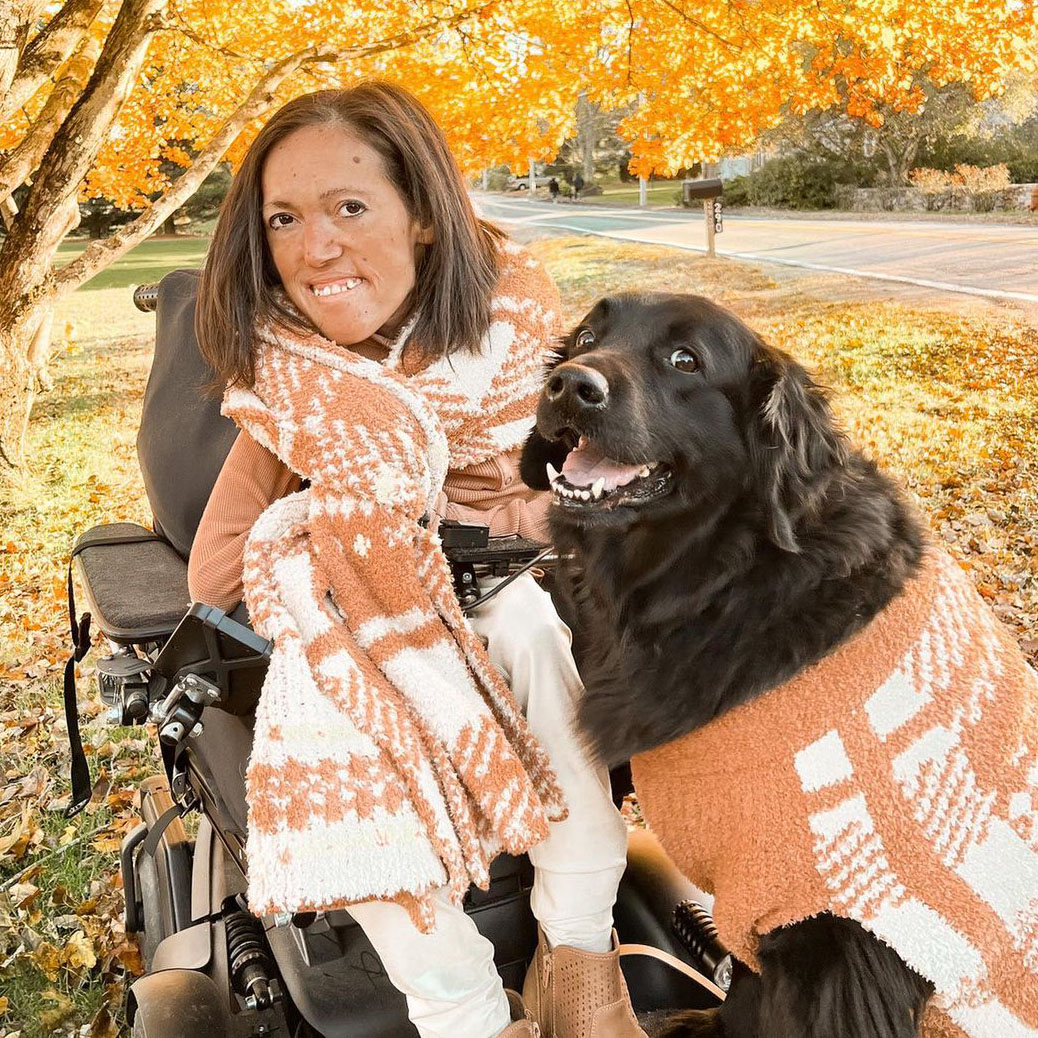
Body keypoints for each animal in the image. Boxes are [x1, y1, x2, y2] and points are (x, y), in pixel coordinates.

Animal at [523, 292, 938, 1038]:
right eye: (588, 336)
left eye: (685, 360)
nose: (570, 384)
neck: (728, 577)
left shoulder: (832, 935)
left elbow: (757, 996)